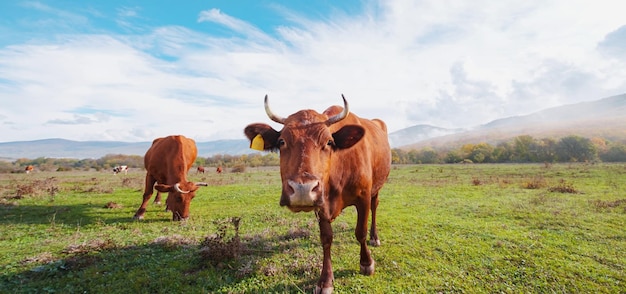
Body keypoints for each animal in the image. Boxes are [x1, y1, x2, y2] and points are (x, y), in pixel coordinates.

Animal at [244, 95, 390, 292]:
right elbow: (326, 239)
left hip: (377, 188)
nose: (302, 190)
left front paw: (366, 263)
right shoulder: (321, 205)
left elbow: (361, 231)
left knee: (375, 207)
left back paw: (375, 238)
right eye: (281, 141)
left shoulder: (363, 197)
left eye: (329, 142)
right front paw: (325, 280)